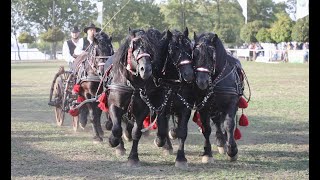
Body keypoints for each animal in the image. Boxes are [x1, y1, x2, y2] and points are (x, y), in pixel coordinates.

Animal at [192, 32, 245, 162]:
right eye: (195, 54)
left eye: (212, 55)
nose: (202, 81)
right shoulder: (203, 106)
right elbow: (206, 128)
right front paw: (207, 153)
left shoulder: (231, 103)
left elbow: (229, 124)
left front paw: (232, 151)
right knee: (216, 121)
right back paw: (221, 141)